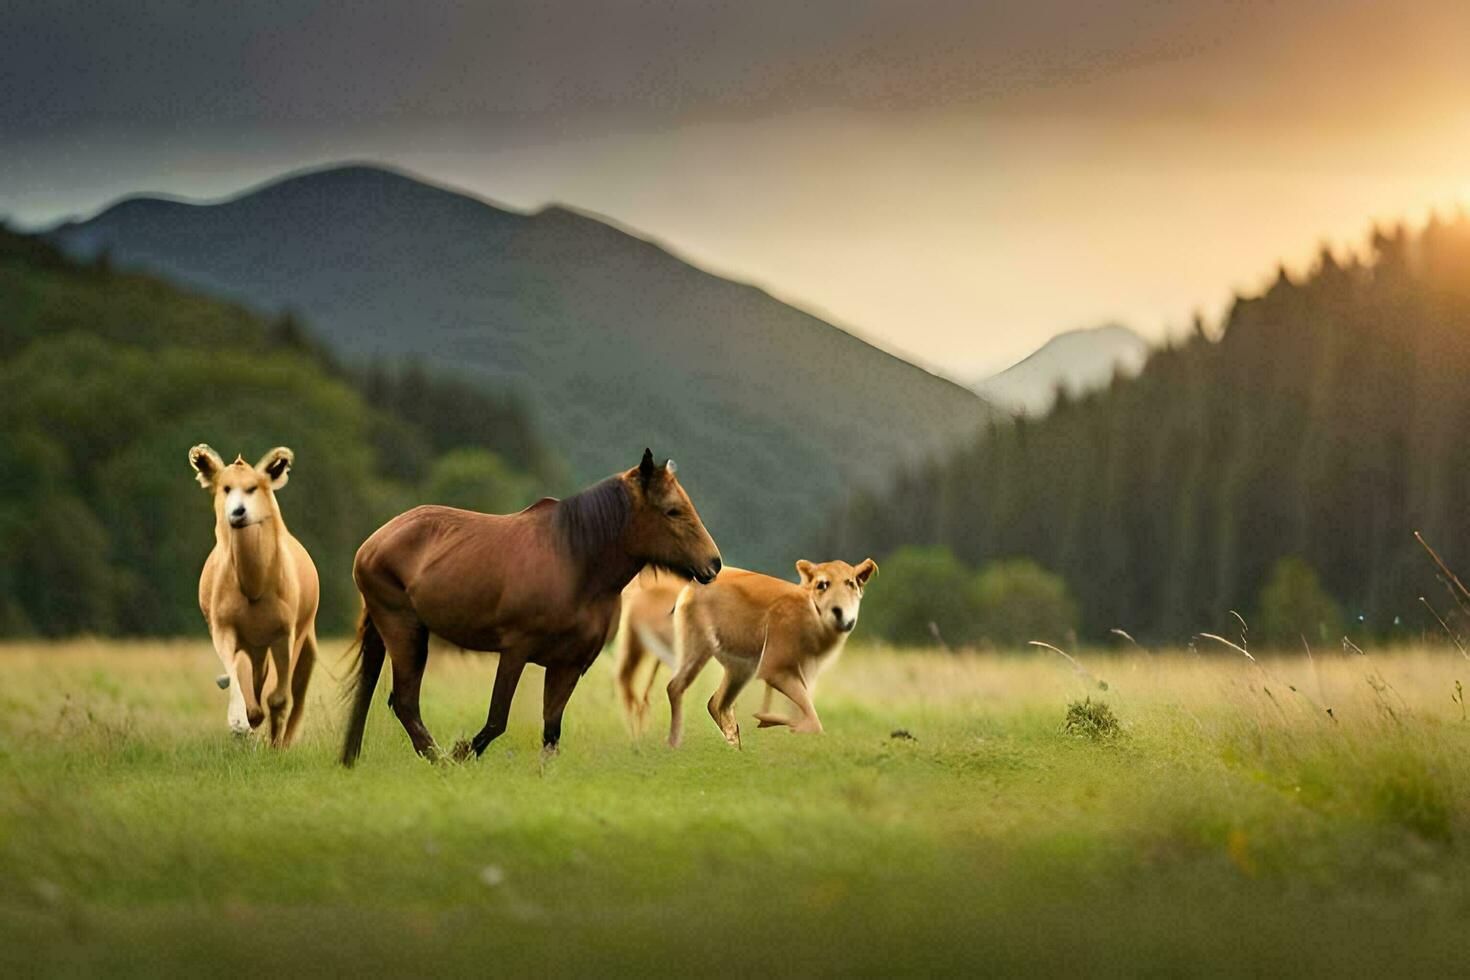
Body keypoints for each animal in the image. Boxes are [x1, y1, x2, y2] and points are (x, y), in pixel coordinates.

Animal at [338, 449, 717, 764]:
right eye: (672, 511)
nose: (713, 564)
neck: (575, 562)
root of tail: (373, 542)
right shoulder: (515, 651)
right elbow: (497, 720)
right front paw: (462, 754)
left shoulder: (569, 664)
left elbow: (551, 732)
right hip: (406, 630)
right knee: (404, 702)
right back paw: (440, 760)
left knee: (371, 694)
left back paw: (351, 760)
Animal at [667, 558, 870, 752]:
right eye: (822, 584)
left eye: (850, 583)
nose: (840, 613)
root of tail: (692, 585)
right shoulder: (775, 670)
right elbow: (812, 720)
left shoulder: (806, 672)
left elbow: (806, 712)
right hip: (700, 649)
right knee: (675, 687)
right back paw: (674, 743)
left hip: (740, 668)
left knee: (717, 703)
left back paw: (736, 748)